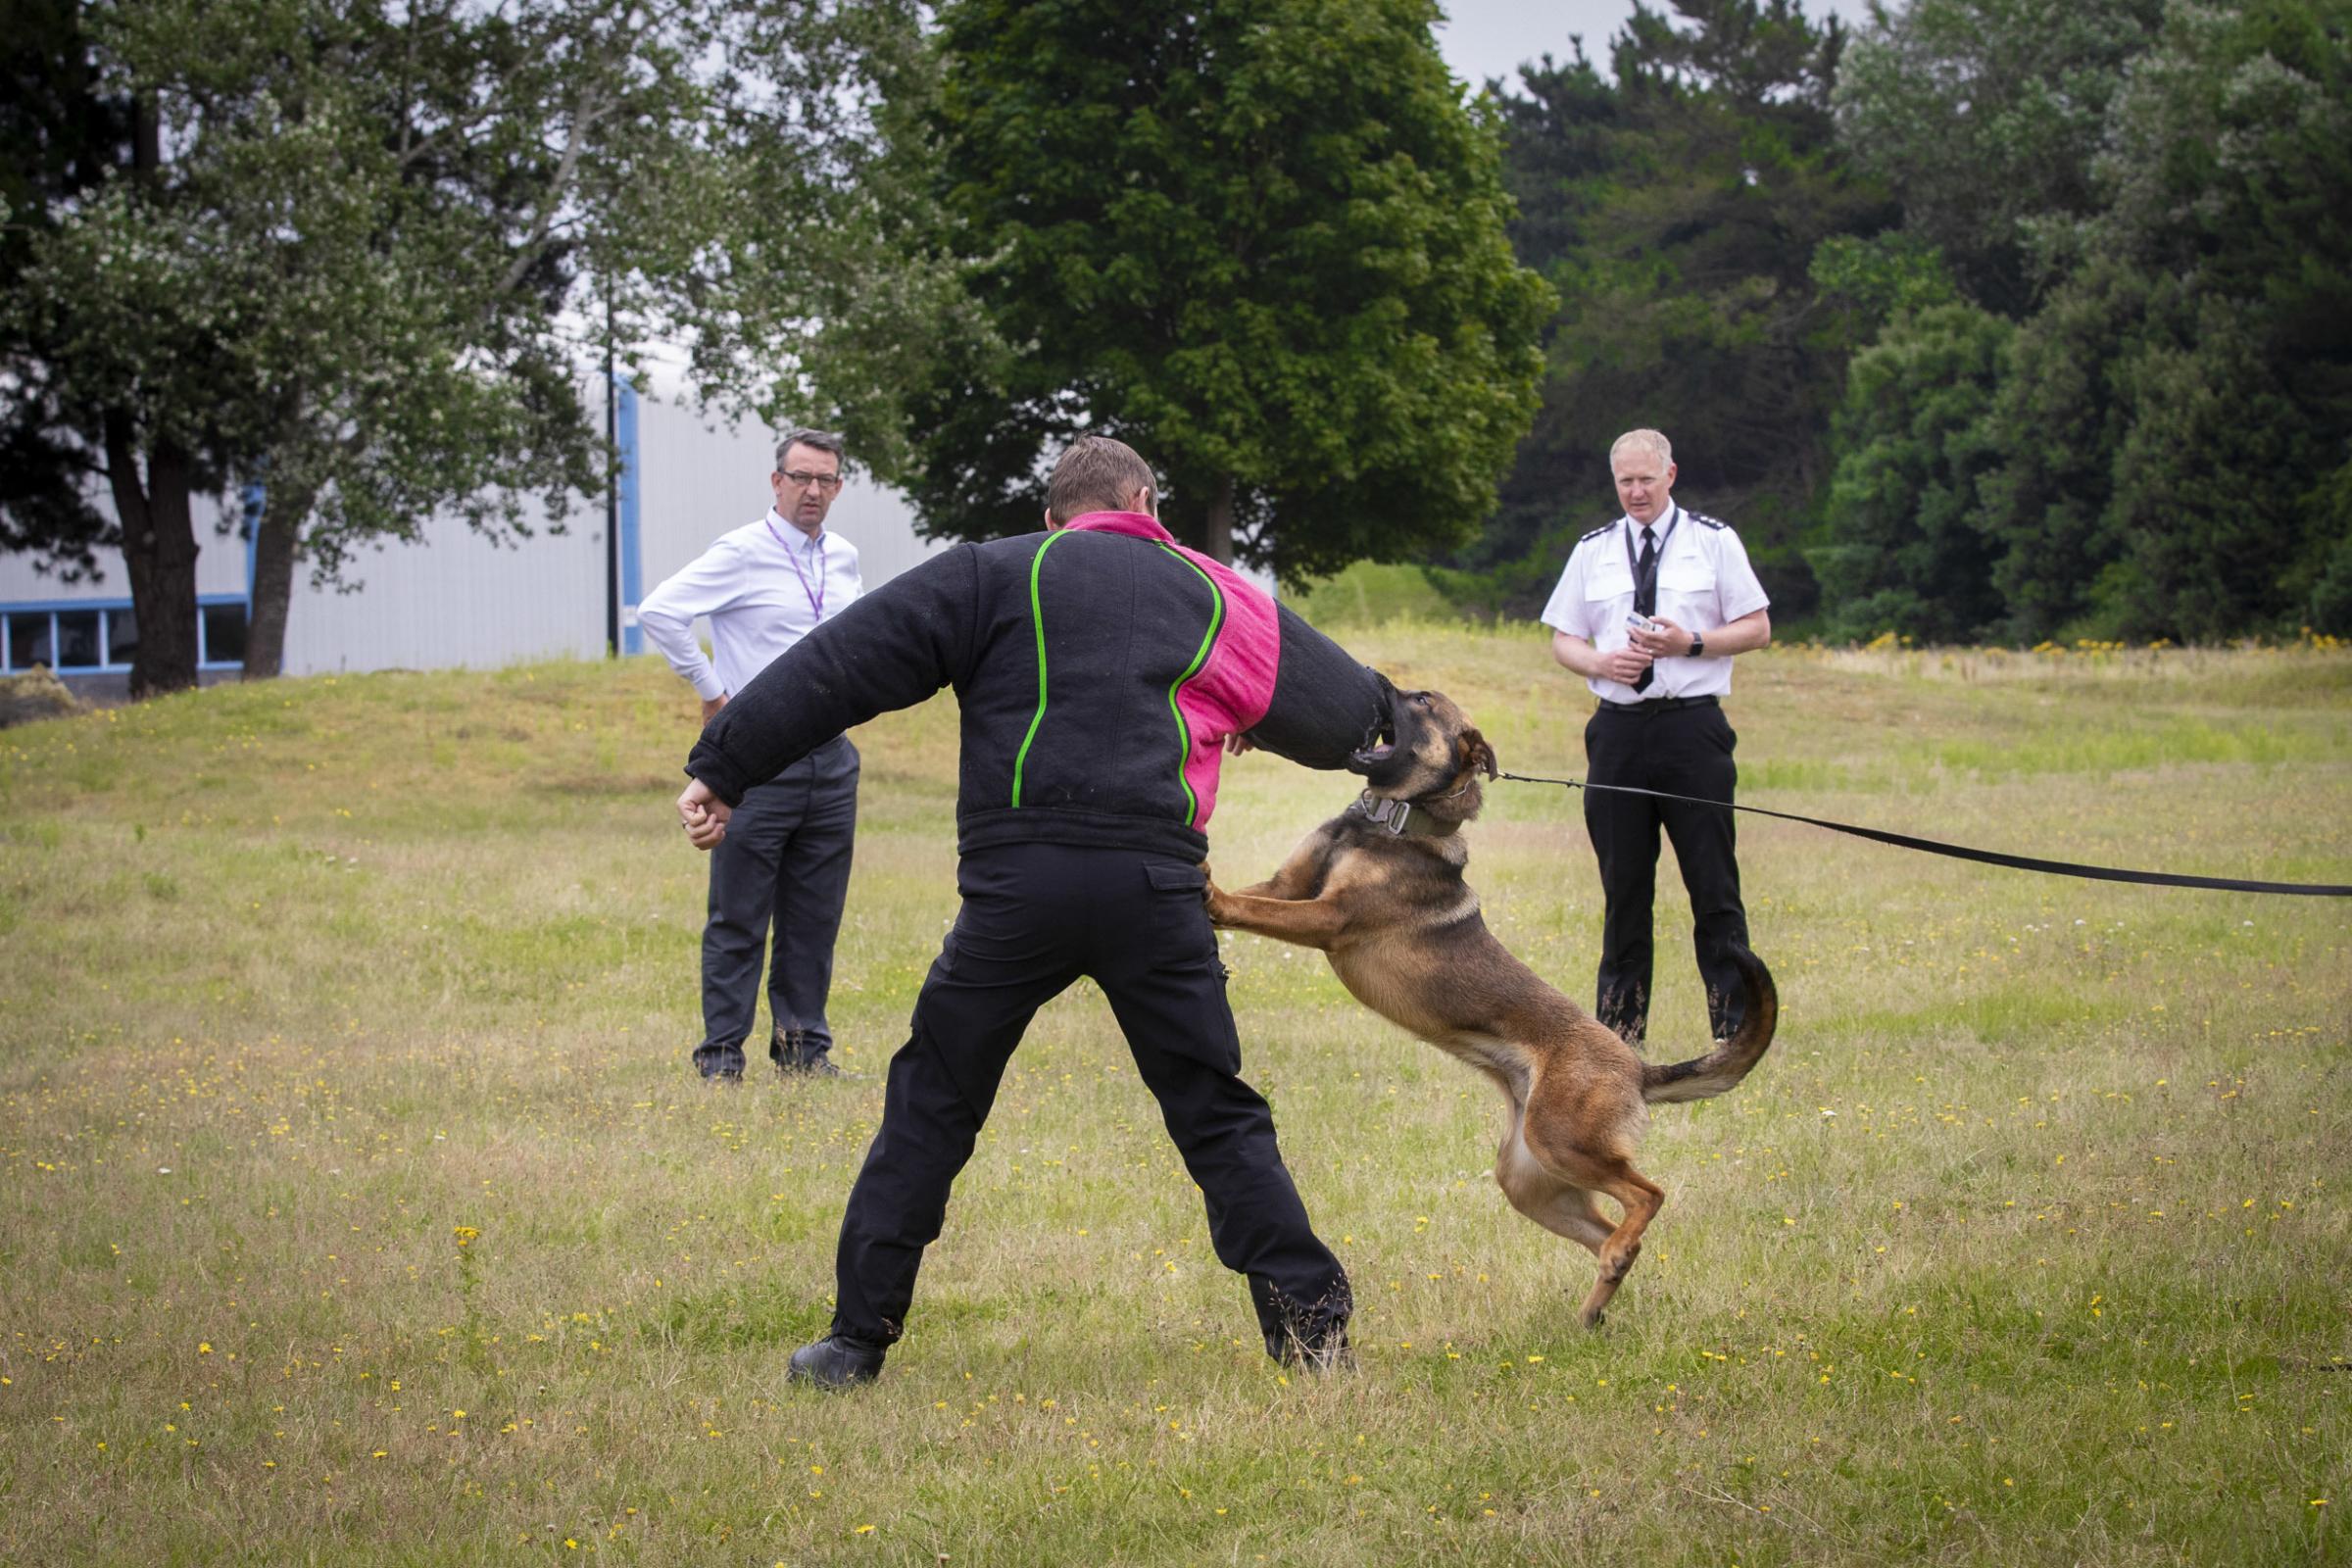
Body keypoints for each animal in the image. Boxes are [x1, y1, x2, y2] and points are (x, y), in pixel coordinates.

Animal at [1203, 691, 1768, 1335]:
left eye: (1421, 701)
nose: (1383, 687)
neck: (1391, 821)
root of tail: (1636, 1068)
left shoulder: (1328, 917)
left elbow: (1250, 907)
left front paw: (1211, 893)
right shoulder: (1288, 885)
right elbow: (1257, 898)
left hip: (1561, 1141)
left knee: (1648, 1195)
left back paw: (1611, 1269)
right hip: (1531, 1179)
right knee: (1611, 1232)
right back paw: (1596, 1301)